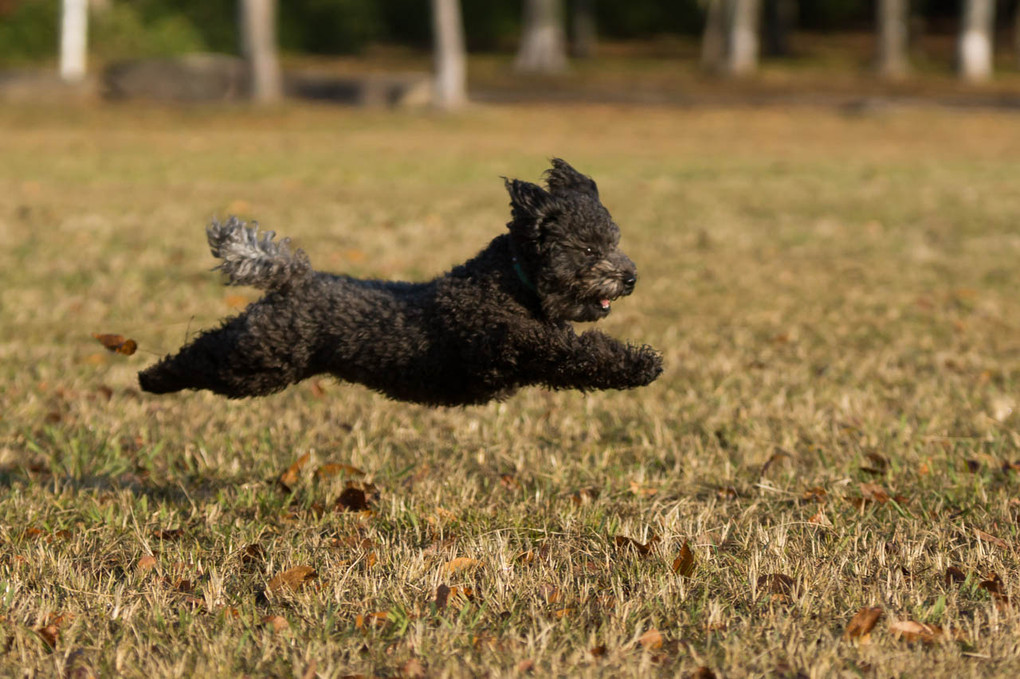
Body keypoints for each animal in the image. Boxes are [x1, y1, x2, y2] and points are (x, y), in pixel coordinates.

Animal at [137, 158, 660, 401]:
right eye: (590, 249)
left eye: (616, 241)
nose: (631, 278)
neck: (510, 284)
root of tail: (296, 277)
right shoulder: (515, 344)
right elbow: (584, 355)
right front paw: (641, 364)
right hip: (261, 359)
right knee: (203, 353)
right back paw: (152, 376)